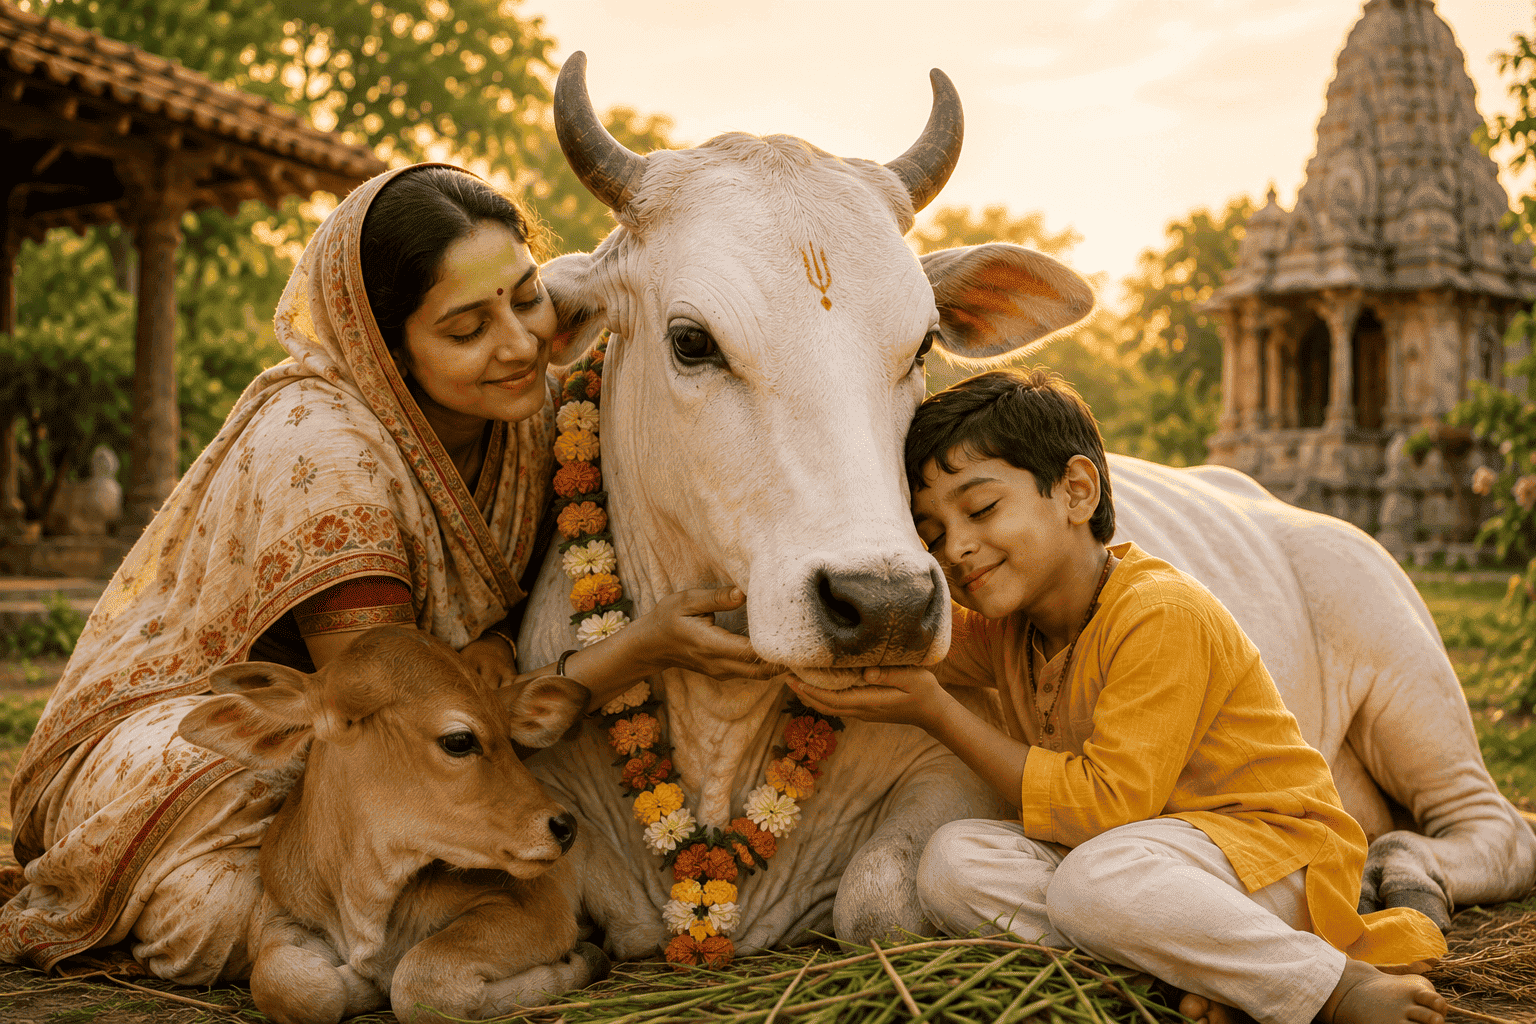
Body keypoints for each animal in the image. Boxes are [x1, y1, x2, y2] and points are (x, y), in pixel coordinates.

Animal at [516, 52, 1536, 960]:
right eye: (690, 340)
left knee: (1495, 825)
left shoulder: (958, 783)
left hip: (1414, 687)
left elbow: (881, 898)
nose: (884, 605)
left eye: (924, 341)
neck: (719, 729)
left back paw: (1398, 875)